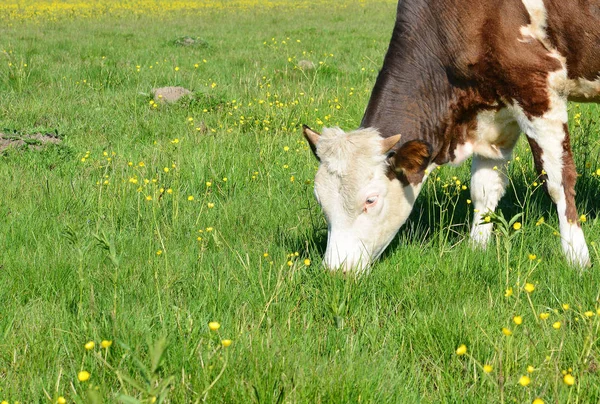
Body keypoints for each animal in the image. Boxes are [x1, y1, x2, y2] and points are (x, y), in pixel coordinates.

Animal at [304, 0, 600, 274]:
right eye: (320, 201)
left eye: (370, 200)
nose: (336, 270)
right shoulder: (493, 112)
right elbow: (484, 187)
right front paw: (477, 248)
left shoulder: (537, 86)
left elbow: (557, 181)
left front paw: (577, 258)